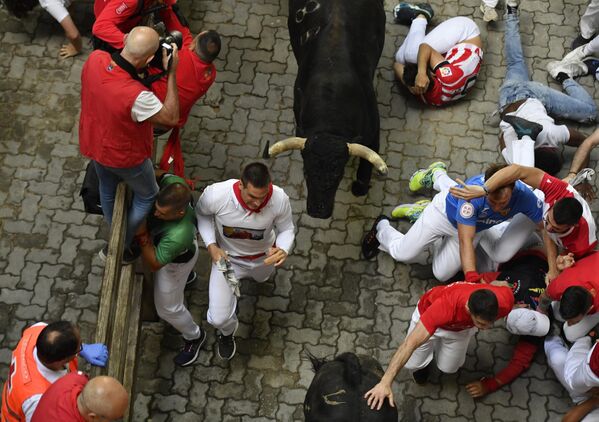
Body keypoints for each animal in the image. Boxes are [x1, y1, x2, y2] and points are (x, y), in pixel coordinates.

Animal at [264, 0, 390, 219]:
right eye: (306, 171)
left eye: (338, 173)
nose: (318, 211)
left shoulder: (373, 133)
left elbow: (366, 166)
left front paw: (360, 188)